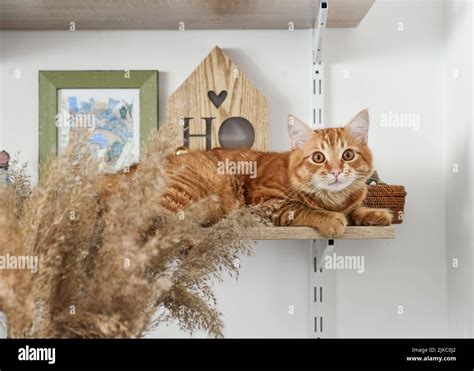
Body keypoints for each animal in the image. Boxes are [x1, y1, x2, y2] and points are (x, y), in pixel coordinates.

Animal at [157, 109, 390, 238]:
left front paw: (374, 214)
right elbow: (301, 208)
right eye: (318, 157)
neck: (334, 200)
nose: (336, 171)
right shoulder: (266, 201)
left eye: (348, 154)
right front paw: (331, 218)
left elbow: (356, 209)